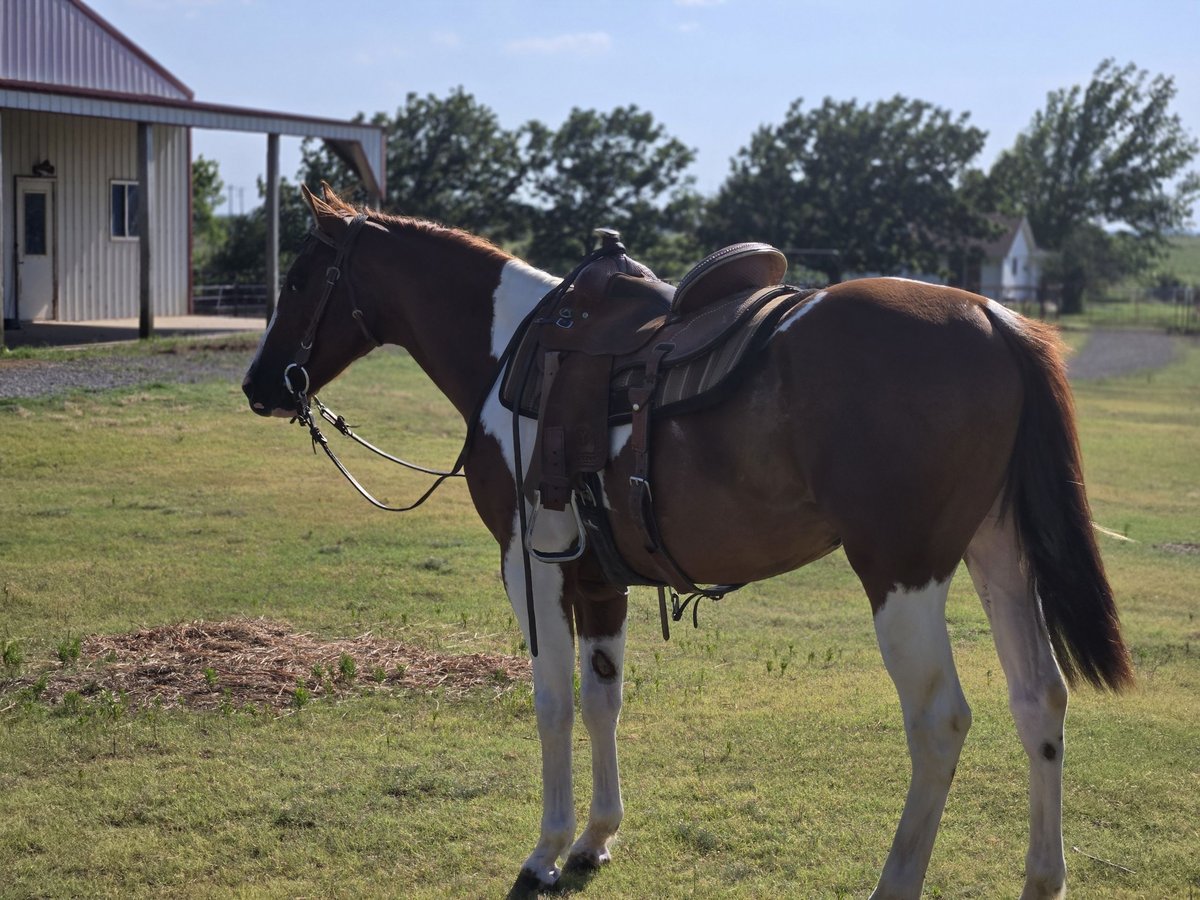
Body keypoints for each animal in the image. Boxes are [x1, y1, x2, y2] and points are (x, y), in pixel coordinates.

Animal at [246, 184, 1132, 900]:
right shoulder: (598, 579)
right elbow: (602, 697)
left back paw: (897, 881)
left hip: (902, 573)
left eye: (300, 279)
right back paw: (1042, 878)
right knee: (1038, 699)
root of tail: (991, 314)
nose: (259, 384)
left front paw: (546, 850)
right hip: (999, 556)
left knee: (940, 721)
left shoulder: (530, 566)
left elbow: (551, 700)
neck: (510, 350)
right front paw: (596, 838)